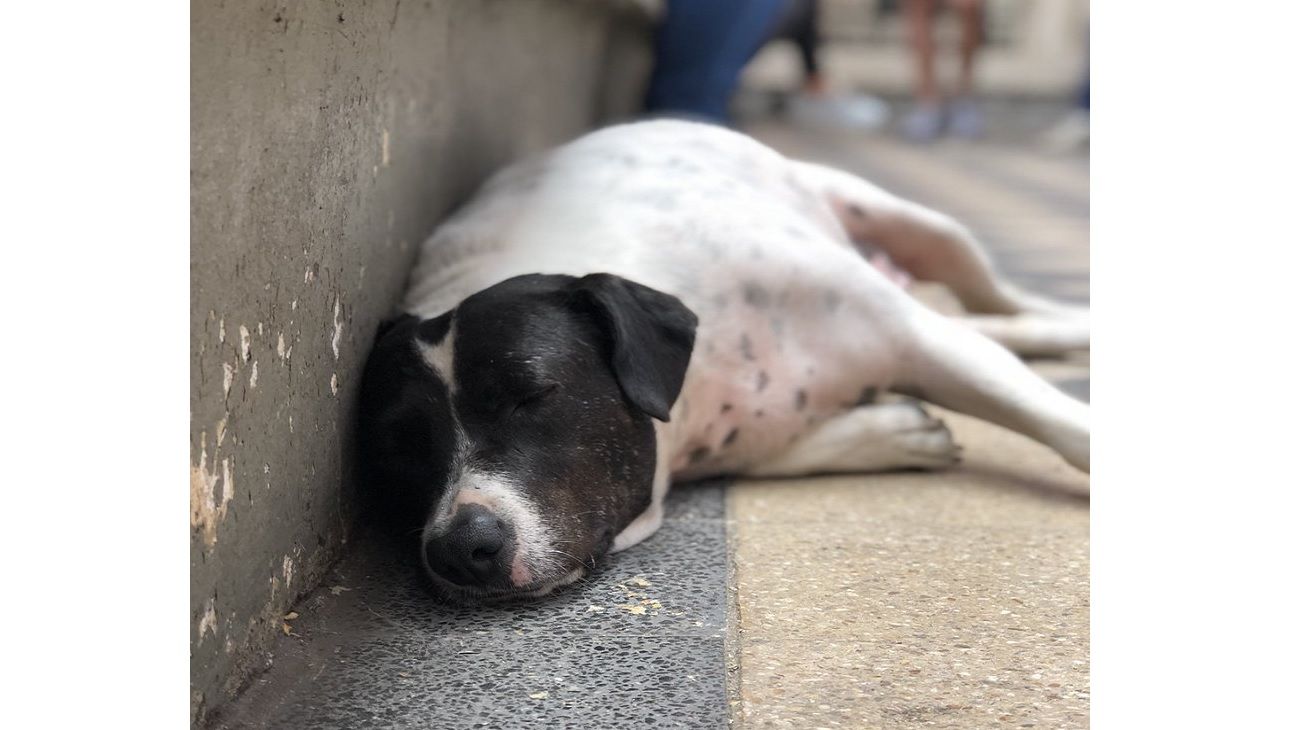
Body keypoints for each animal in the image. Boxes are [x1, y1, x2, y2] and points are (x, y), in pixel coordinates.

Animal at [358, 120, 1086, 602]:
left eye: (531, 394)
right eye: (400, 447)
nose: (457, 548)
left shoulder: (920, 336)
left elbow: (1067, 427)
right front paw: (891, 431)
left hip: (922, 227)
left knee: (996, 297)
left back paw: (1071, 319)